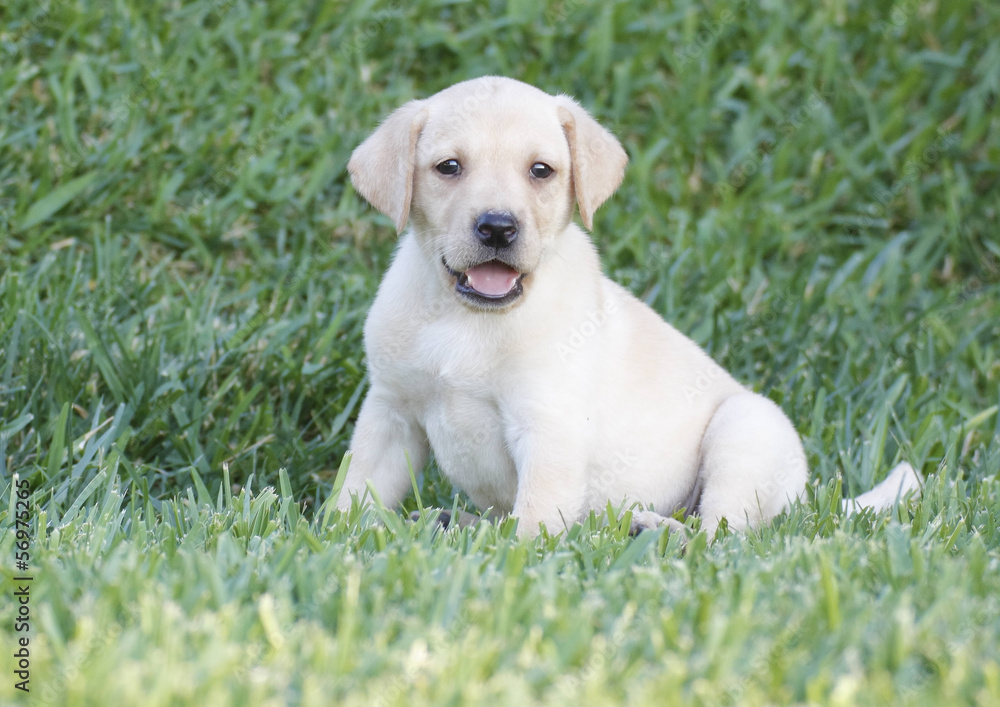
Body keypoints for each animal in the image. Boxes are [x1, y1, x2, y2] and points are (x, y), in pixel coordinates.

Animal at [338, 77, 920, 540]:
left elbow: (531, 524)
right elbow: (355, 494)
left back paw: (651, 529)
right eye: (449, 167)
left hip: (745, 431)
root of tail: (807, 497)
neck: (470, 320)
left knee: (721, 536)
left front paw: (513, 560)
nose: (498, 227)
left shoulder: (549, 429)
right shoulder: (390, 413)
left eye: (541, 171)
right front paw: (336, 540)